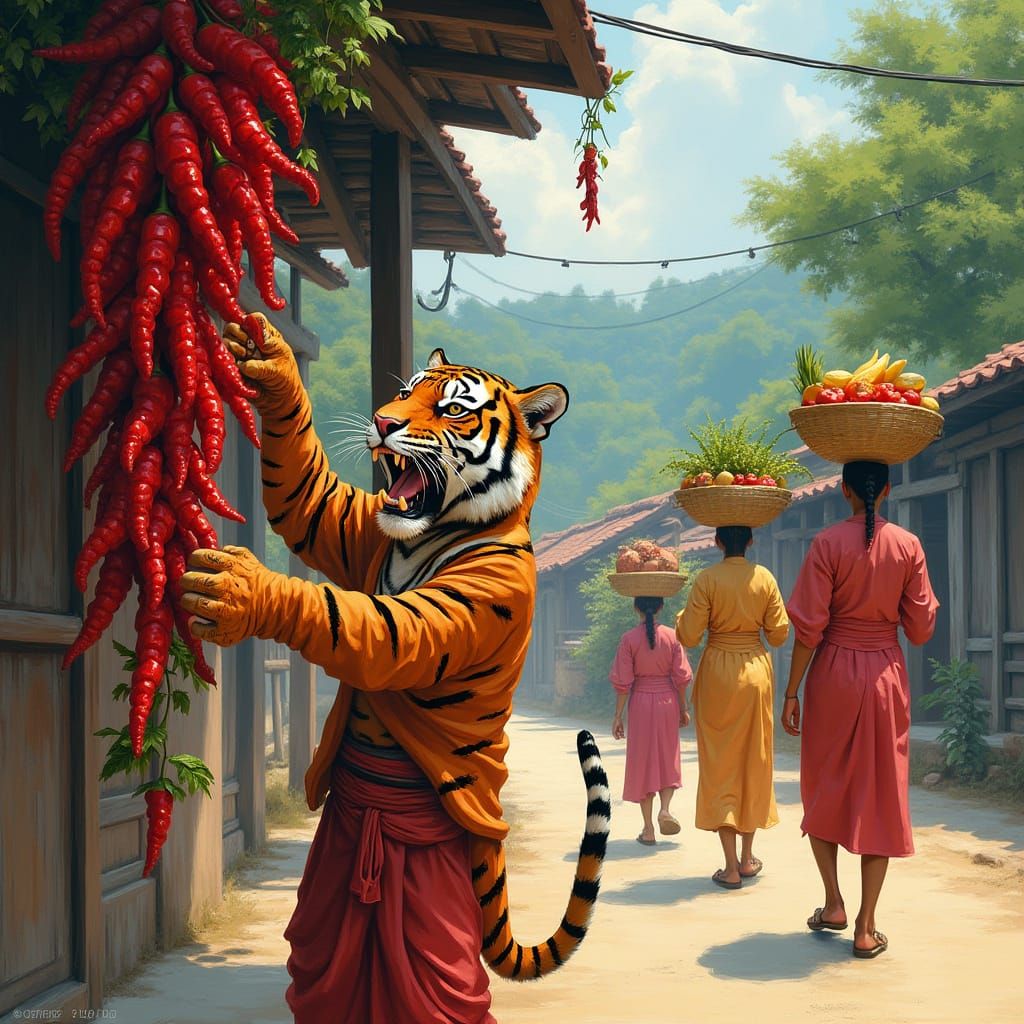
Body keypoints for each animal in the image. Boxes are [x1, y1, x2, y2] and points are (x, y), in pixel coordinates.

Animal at [179, 313, 611, 1017]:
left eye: (453, 407)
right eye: (405, 393)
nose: (383, 422)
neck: (425, 538)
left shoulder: (456, 608)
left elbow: (360, 621)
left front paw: (245, 589)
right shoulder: (348, 524)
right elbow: (308, 496)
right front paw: (269, 359)